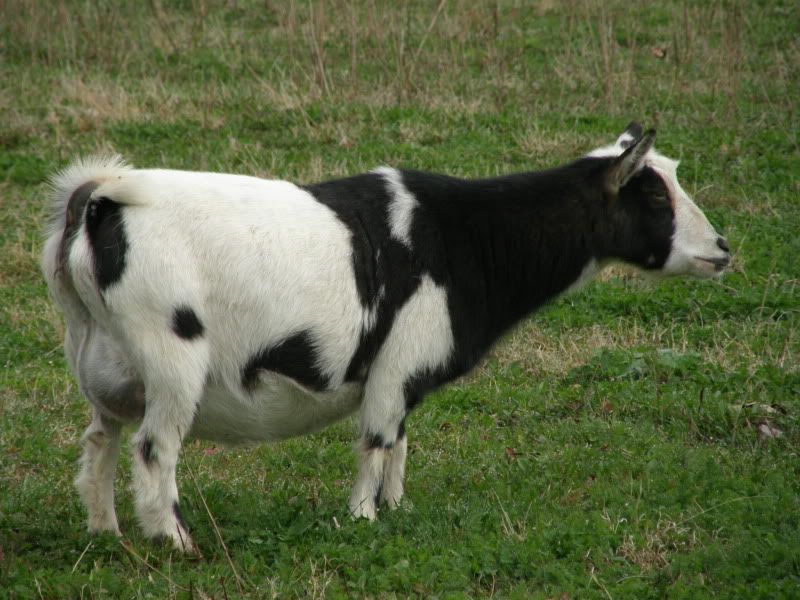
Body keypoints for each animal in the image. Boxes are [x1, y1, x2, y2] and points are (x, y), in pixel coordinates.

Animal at [41, 123, 731, 551]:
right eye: (655, 196)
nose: (722, 249)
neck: (468, 238)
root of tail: (99, 202)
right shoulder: (397, 363)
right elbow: (376, 441)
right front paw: (362, 520)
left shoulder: (403, 379)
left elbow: (398, 443)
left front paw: (397, 512)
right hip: (171, 356)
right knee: (154, 449)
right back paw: (177, 543)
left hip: (102, 364)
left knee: (100, 441)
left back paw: (105, 532)